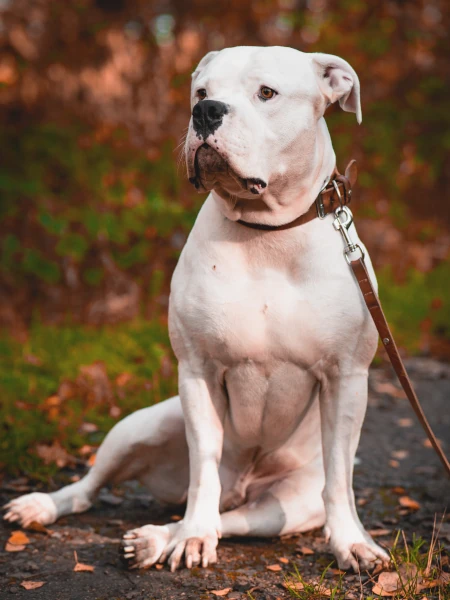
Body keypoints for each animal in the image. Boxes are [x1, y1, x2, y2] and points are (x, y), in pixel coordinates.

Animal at [3, 45, 388, 572]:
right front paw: (193, 537)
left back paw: (154, 538)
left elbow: (340, 479)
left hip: (284, 506)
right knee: (91, 487)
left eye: (266, 92)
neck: (267, 234)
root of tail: (241, 487)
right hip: (142, 424)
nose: (205, 112)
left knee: (241, 518)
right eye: (202, 91)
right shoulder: (199, 371)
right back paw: (51, 508)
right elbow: (202, 464)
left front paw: (351, 541)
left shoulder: (346, 378)